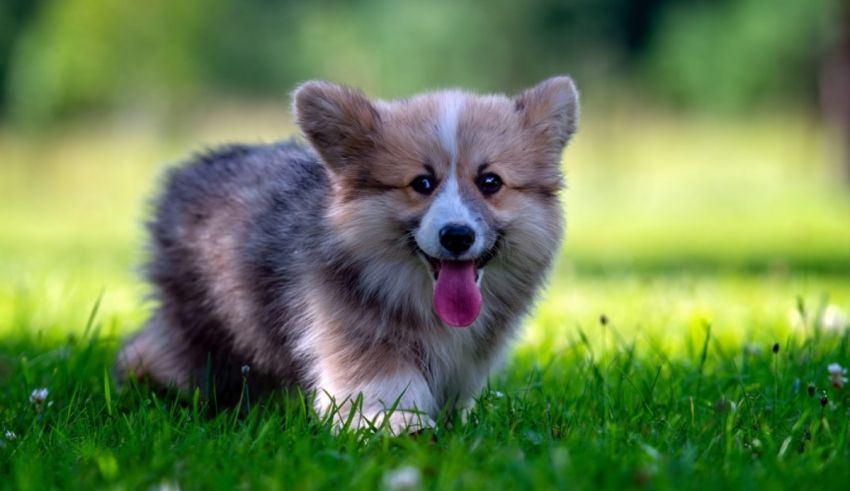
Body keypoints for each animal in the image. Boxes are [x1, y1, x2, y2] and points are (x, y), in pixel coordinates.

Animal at [117, 75, 576, 432]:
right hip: (199, 328)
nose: (457, 236)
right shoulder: (358, 333)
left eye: (490, 182)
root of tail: (187, 173)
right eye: (422, 183)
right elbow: (382, 387)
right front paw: (397, 426)